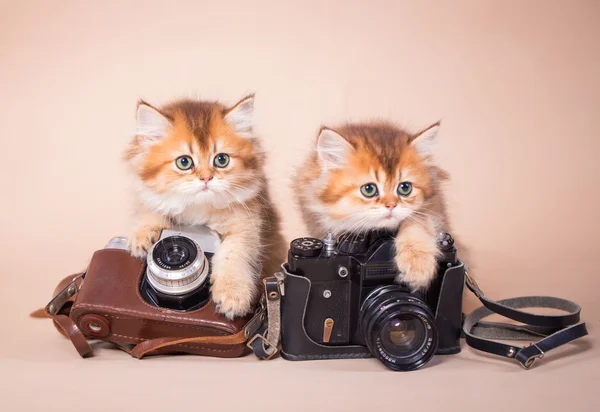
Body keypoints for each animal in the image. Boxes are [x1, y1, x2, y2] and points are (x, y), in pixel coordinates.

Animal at [122, 96, 286, 318]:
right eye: (184, 162)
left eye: (221, 160)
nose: (206, 178)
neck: (198, 207)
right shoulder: (148, 195)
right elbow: (150, 208)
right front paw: (142, 235)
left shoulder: (246, 224)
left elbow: (234, 255)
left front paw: (233, 295)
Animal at [290, 120, 450, 292]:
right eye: (369, 189)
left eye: (405, 188)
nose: (391, 205)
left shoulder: (433, 206)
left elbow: (417, 222)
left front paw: (417, 263)